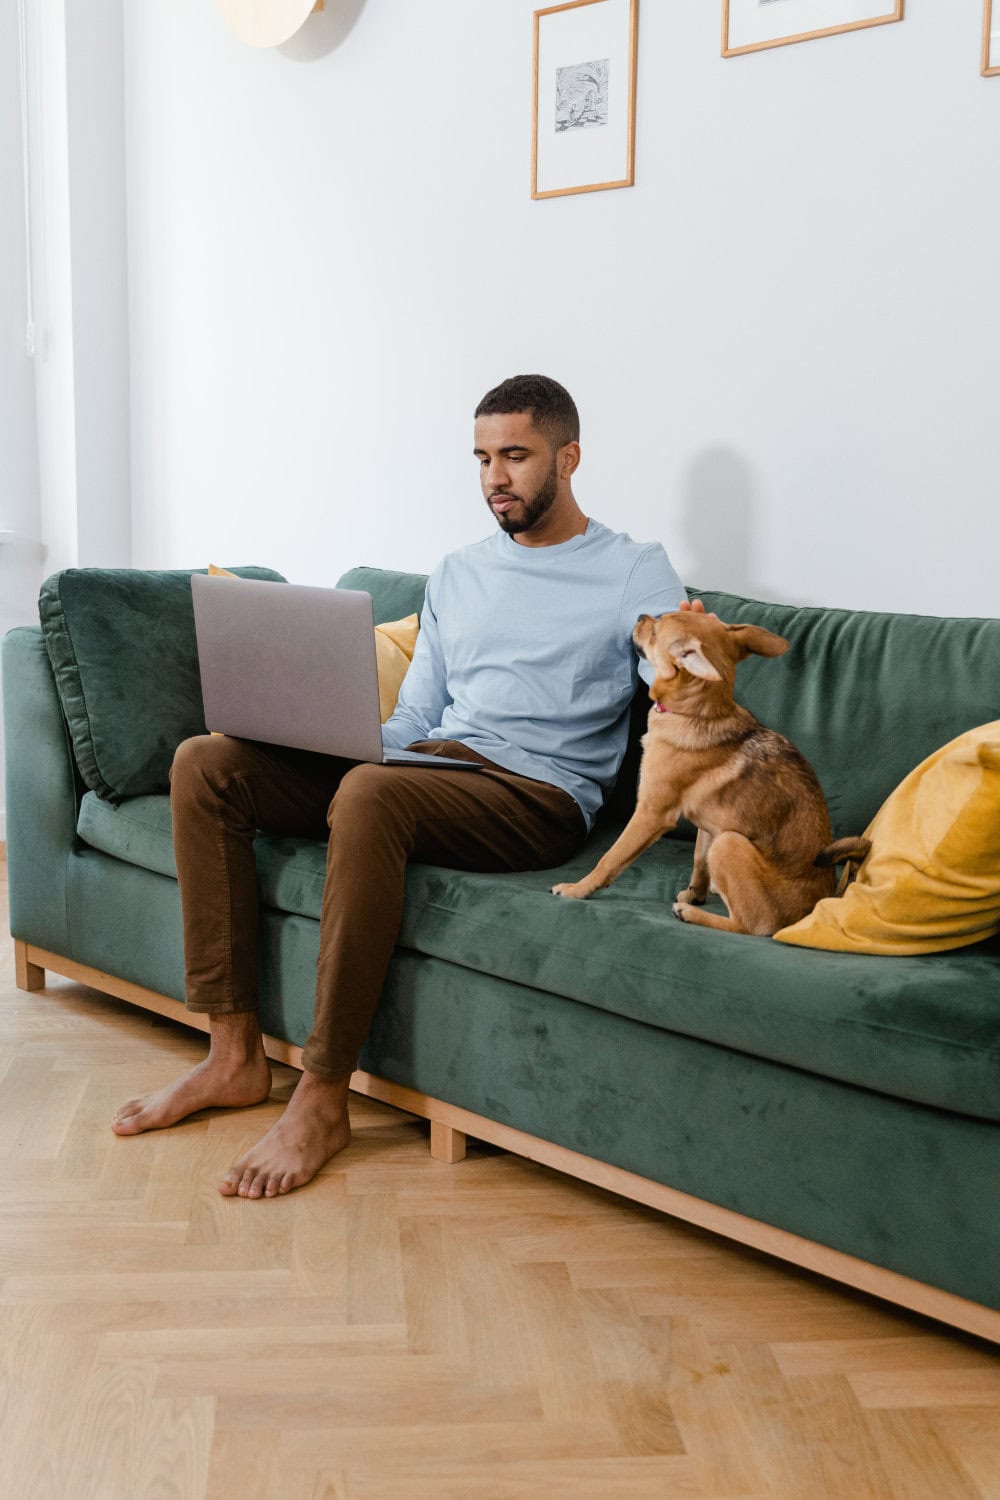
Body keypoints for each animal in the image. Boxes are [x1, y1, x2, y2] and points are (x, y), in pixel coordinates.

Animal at [551, 600, 869, 930]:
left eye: (656, 630)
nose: (639, 616)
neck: (697, 712)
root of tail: (811, 911)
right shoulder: (708, 825)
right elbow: (699, 861)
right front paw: (695, 893)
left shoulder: (651, 813)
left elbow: (611, 857)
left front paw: (578, 889)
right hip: (723, 837)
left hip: (729, 844)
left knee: (749, 924)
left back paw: (691, 915)